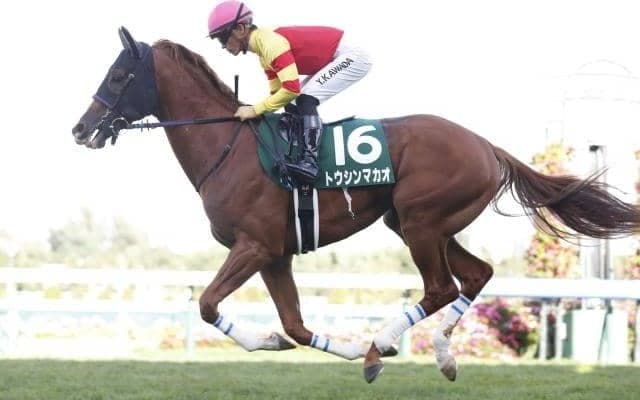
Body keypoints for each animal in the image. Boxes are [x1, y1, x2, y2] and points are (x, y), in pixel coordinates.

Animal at [72, 27, 640, 383]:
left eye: (118, 77)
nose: (81, 128)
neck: (227, 146)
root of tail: (487, 145)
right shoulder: (276, 254)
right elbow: (295, 327)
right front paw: (297, 343)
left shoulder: (253, 246)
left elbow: (209, 304)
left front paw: (331, 346)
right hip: (418, 223)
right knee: (476, 275)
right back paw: (440, 356)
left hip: (421, 221)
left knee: (440, 287)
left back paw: (378, 347)